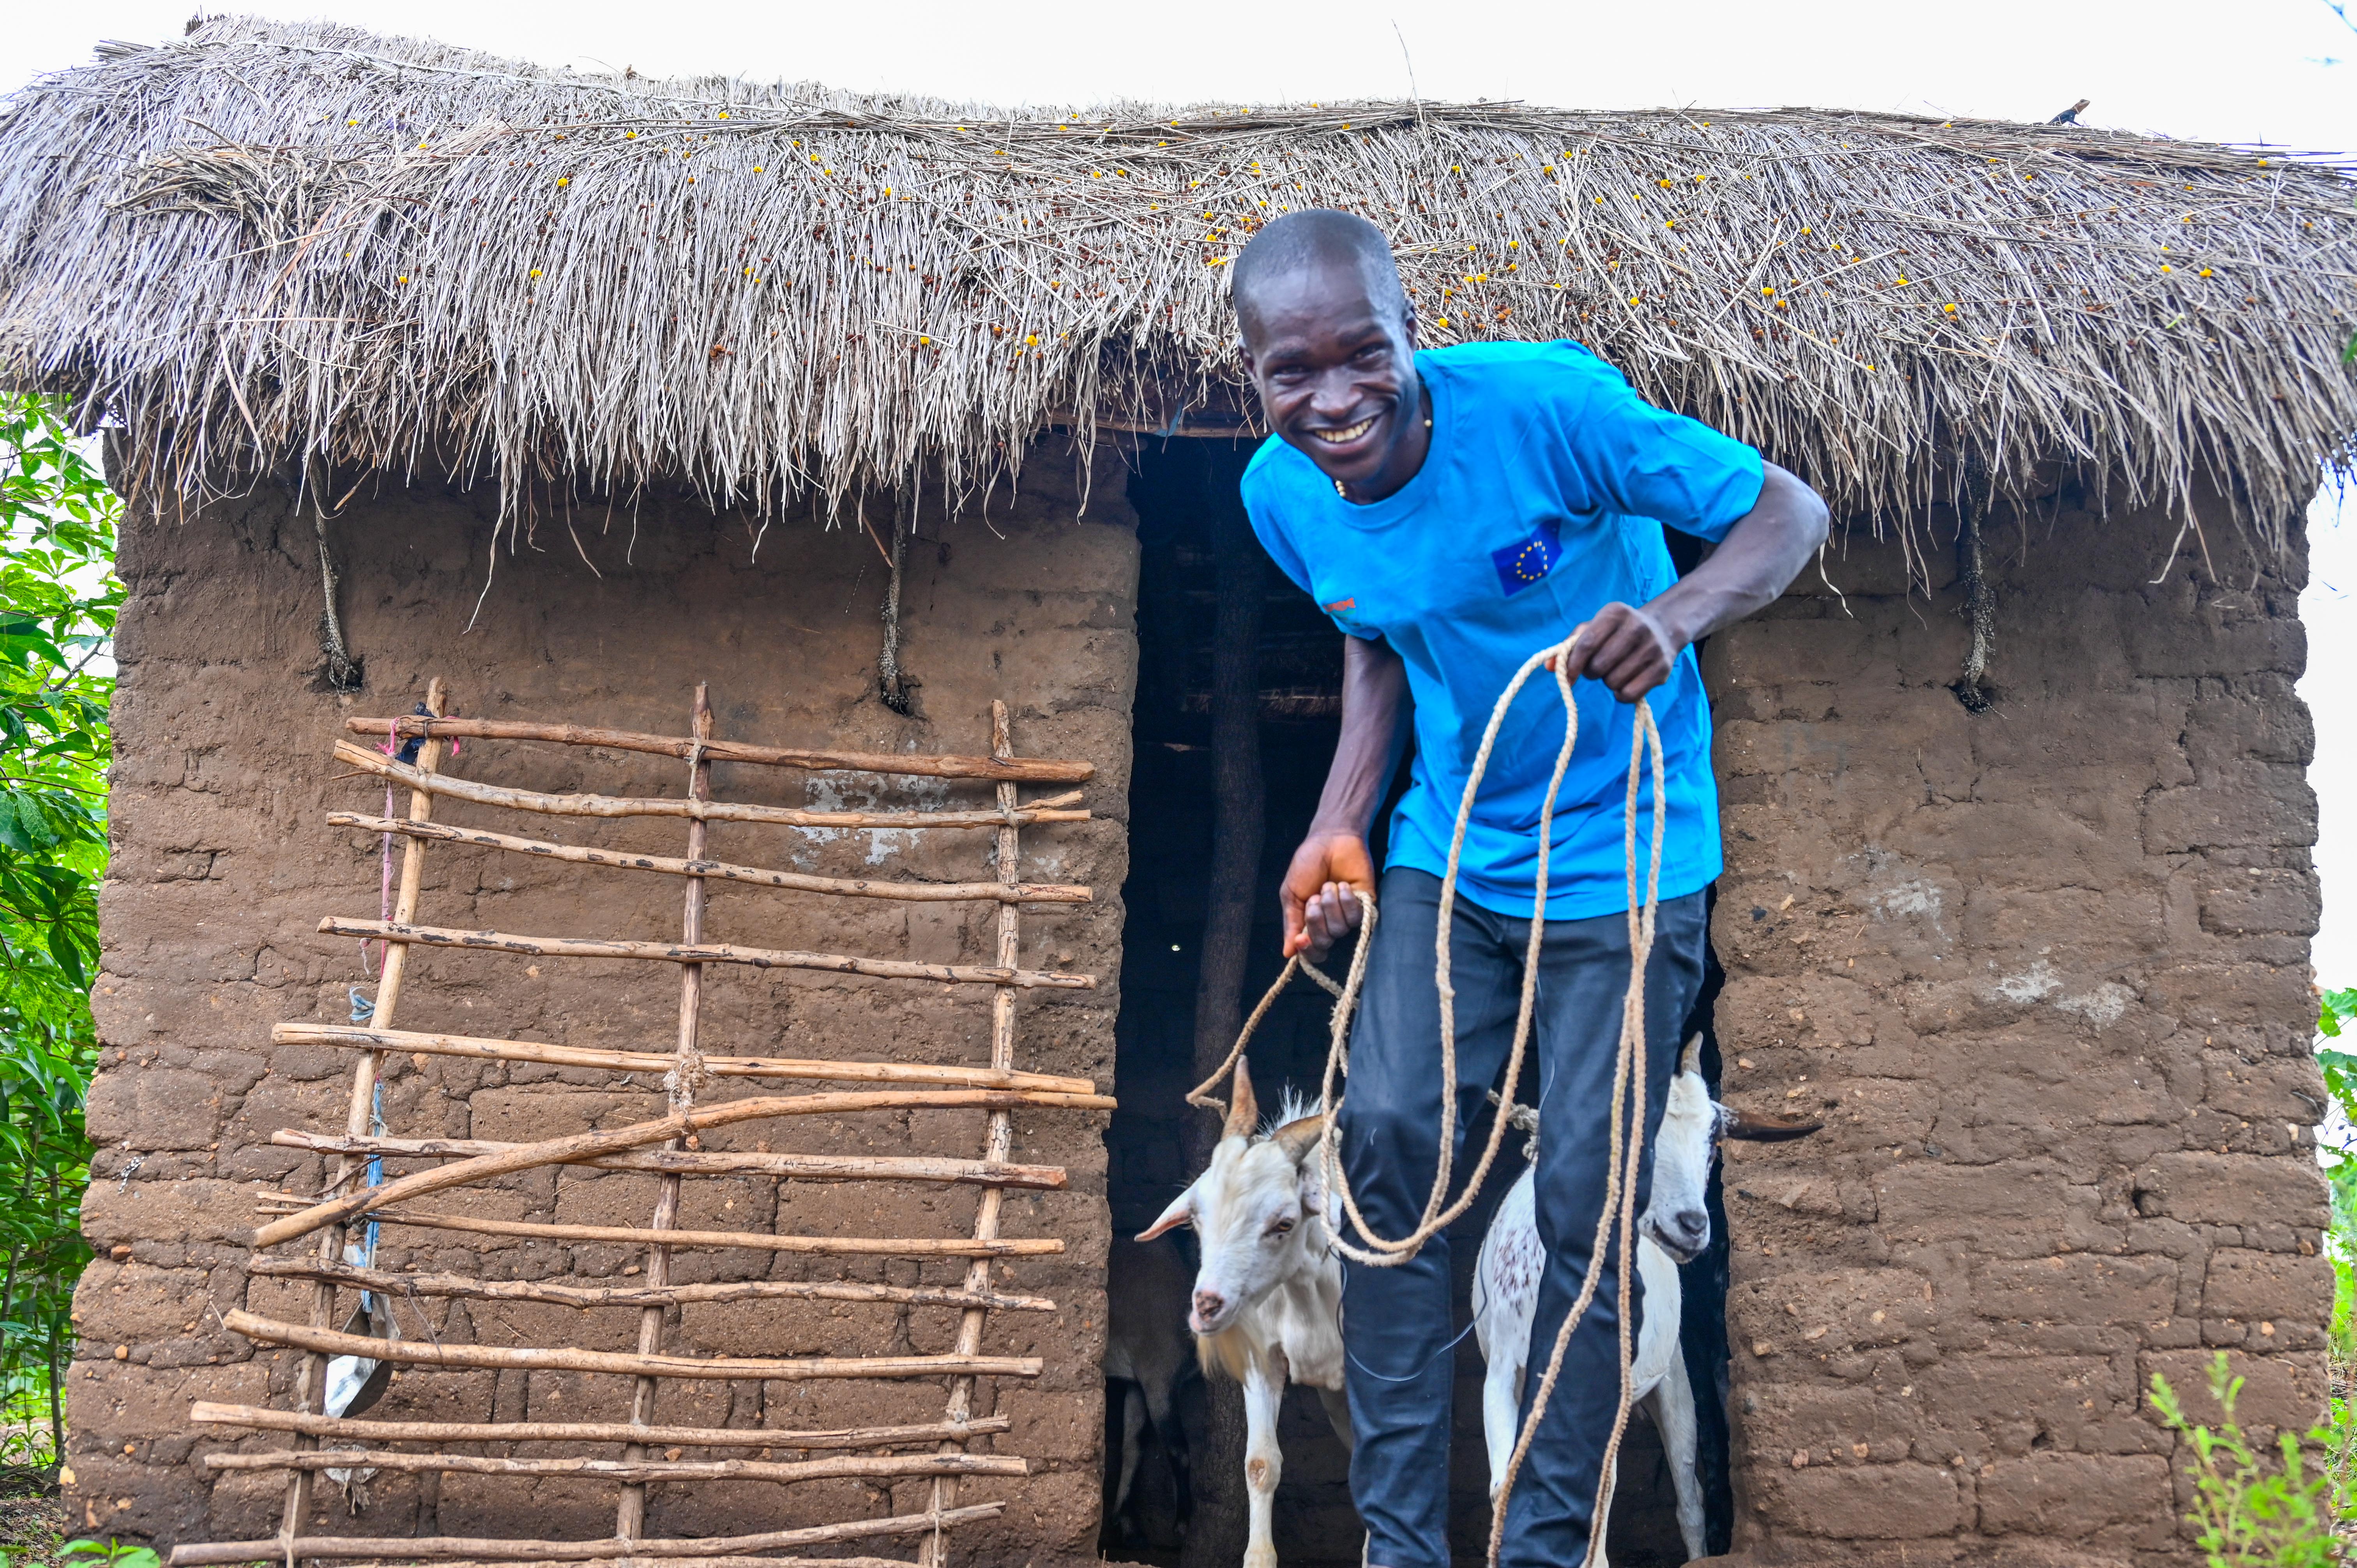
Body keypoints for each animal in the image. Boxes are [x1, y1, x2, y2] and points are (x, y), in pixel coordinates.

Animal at [1470, 1033, 1820, 1556]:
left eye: (1714, 1140)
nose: (1692, 1225)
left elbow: (1597, 1498)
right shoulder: (1503, 1372)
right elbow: (1503, 1488)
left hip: (1675, 1381)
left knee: (1690, 1495)